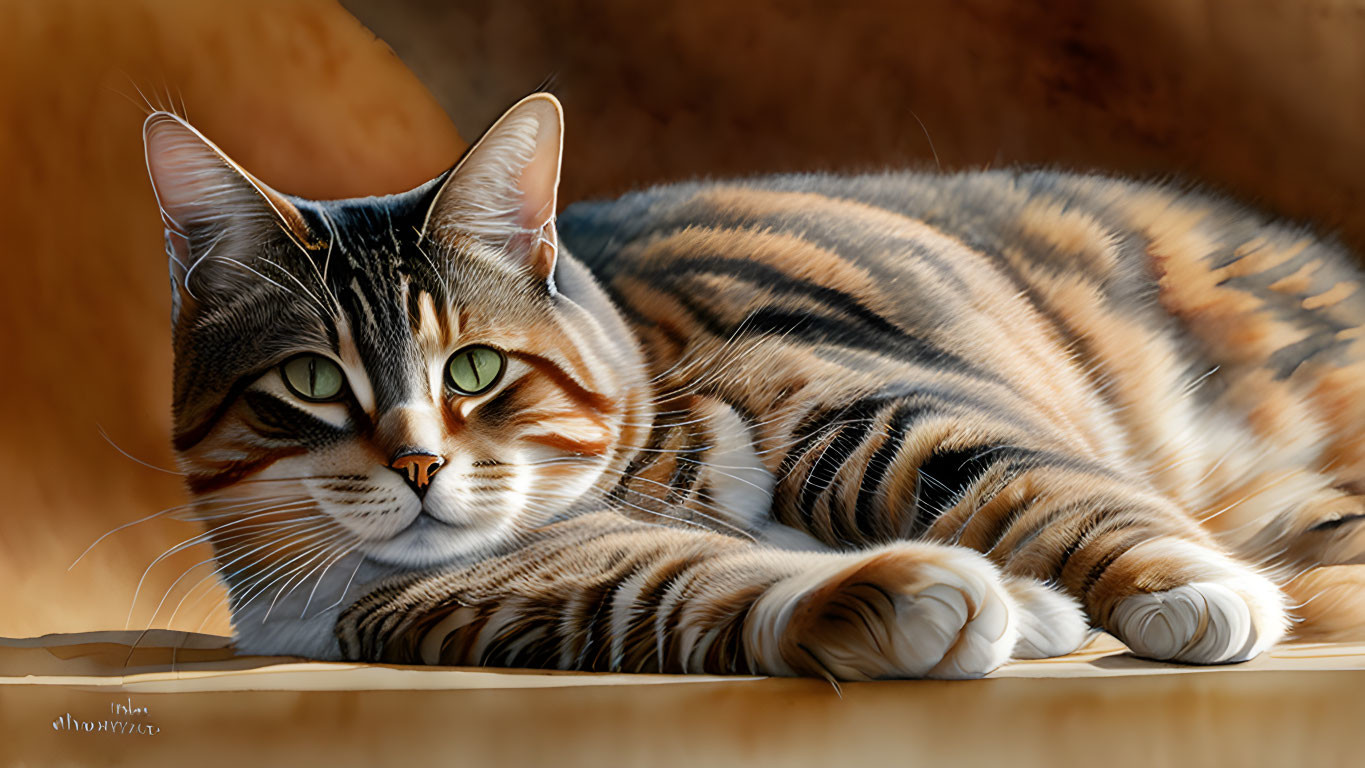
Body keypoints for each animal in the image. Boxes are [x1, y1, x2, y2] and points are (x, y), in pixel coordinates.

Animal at [138, 93, 1365, 682]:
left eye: (476, 367)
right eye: (309, 379)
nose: (420, 464)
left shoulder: (838, 394)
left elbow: (1022, 483)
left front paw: (1190, 589)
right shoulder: (503, 595)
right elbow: (689, 592)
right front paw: (932, 601)